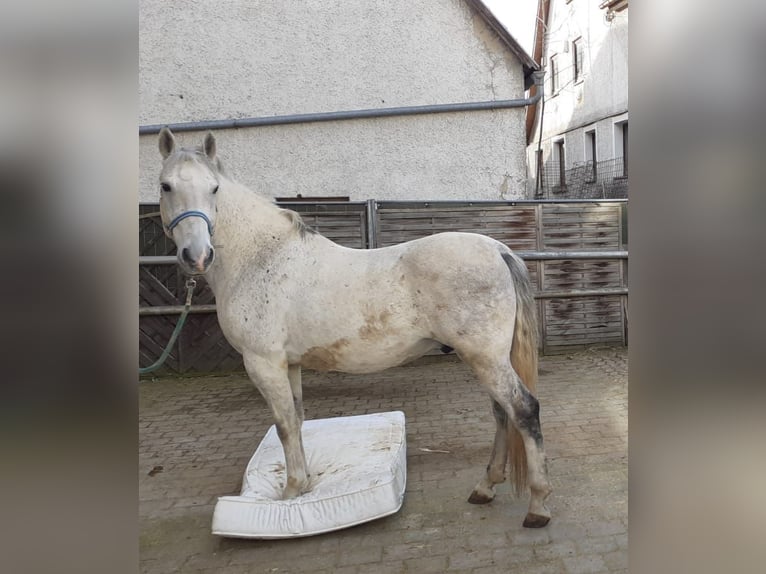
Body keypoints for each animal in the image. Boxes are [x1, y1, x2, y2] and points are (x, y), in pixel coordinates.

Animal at [156, 128, 552, 528]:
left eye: (214, 188)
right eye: (166, 186)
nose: (197, 256)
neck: (262, 257)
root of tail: (499, 250)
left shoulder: (263, 363)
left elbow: (284, 425)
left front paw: (290, 493)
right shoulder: (289, 364)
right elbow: (297, 421)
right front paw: (305, 485)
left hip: (485, 358)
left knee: (523, 410)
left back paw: (537, 505)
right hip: (485, 358)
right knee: (501, 413)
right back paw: (486, 486)